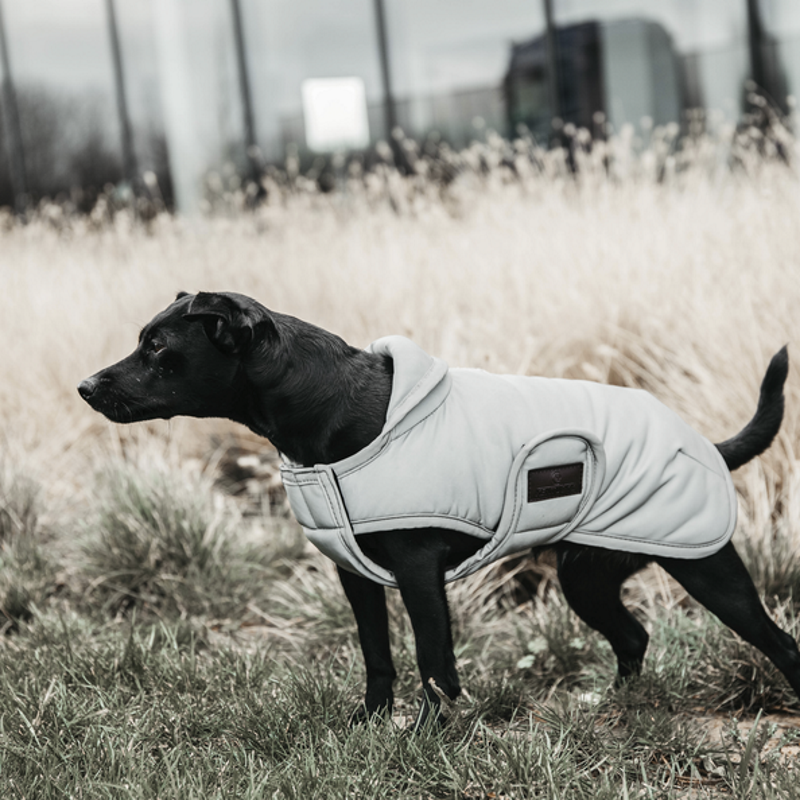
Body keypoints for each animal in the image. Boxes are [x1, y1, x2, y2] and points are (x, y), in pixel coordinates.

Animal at [79, 296, 800, 732]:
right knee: (633, 638)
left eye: (157, 349)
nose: (86, 385)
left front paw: (429, 732)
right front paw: (370, 724)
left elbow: (432, 658)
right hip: (586, 576)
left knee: (780, 643)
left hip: (708, 571)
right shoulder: (357, 577)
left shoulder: (419, 573)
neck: (327, 407)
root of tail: (704, 442)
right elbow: (377, 655)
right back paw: (614, 707)